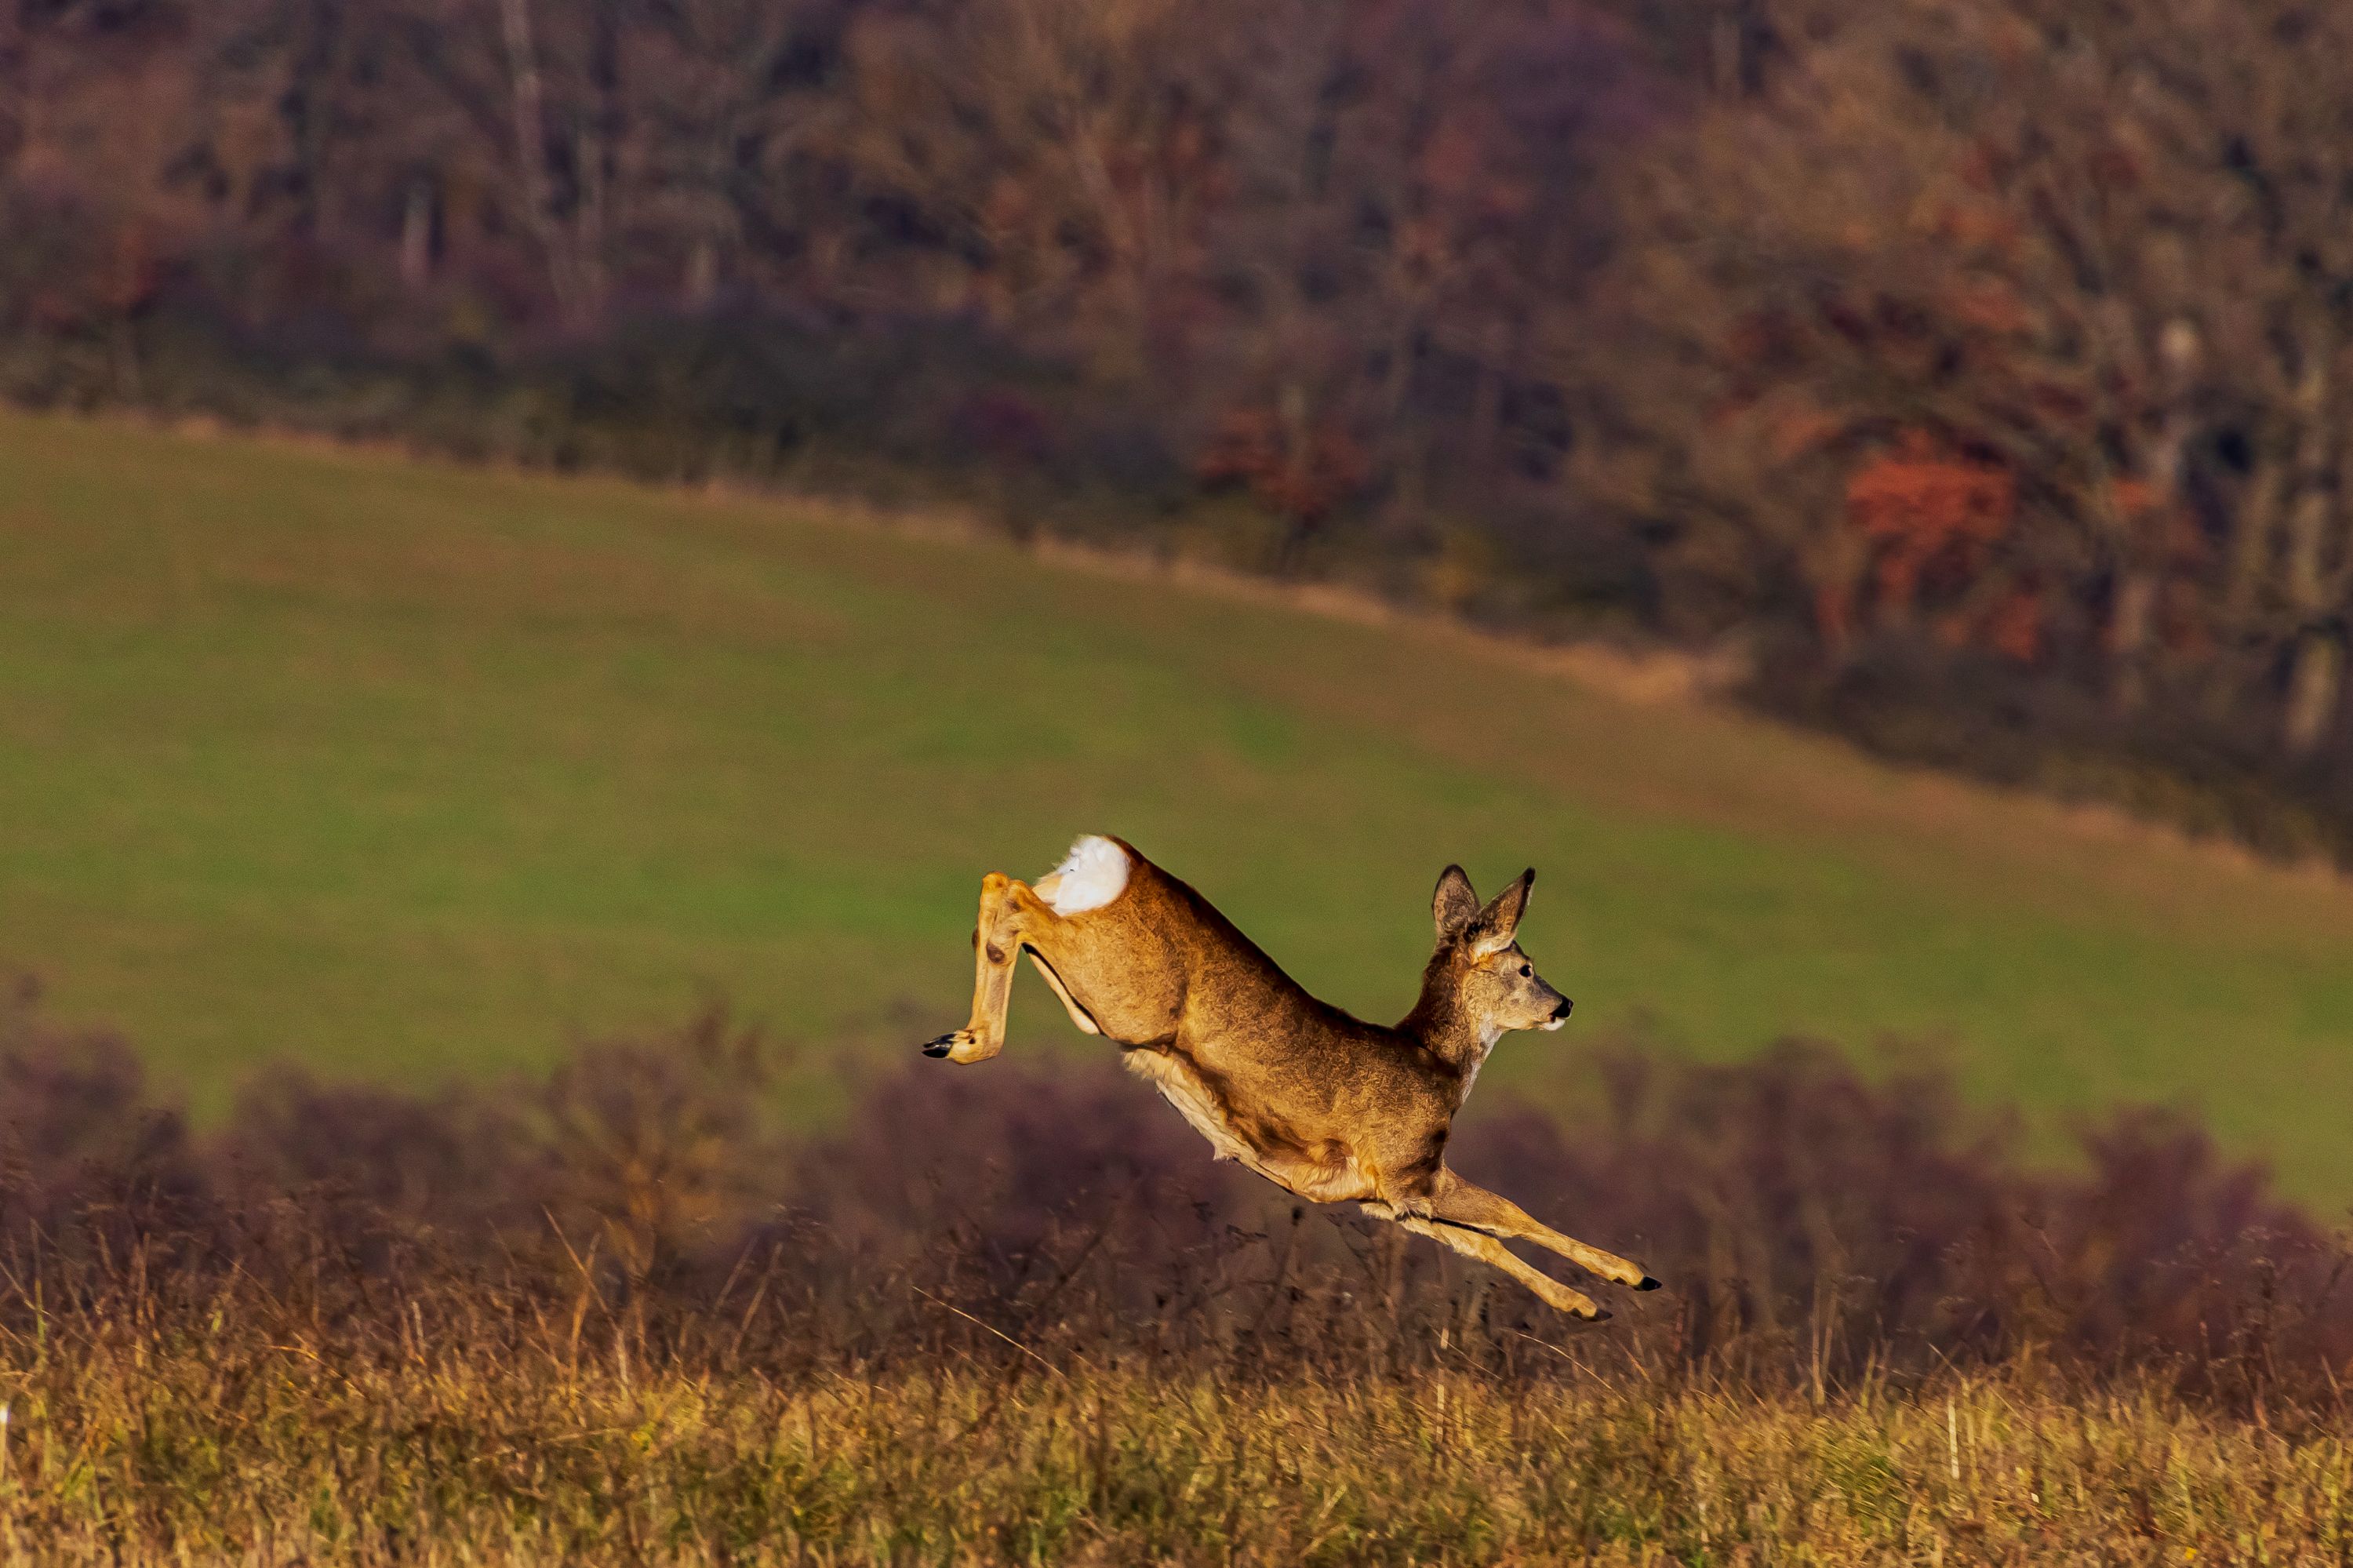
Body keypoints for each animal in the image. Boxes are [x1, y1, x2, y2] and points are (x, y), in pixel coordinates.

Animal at [922, 834, 1660, 1319]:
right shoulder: (1407, 1166)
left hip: (1094, 984)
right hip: (1129, 996)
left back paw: (953, 1038)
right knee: (1009, 892)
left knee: (1006, 889)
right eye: (1527, 966)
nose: (1565, 1004)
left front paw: (1586, 1301)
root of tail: (1115, 855)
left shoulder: (1382, 1197)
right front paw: (1626, 1279)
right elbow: (1512, 1214)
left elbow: (1485, 1243)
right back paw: (965, 1042)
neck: (1438, 1067)